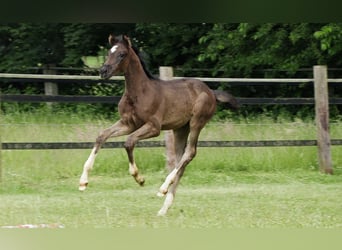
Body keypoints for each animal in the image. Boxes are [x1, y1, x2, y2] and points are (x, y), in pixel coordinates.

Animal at [79, 34, 238, 216]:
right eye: (108, 52)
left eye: (122, 54)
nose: (103, 71)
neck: (139, 93)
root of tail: (211, 91)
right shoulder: (128, 123)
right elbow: (102, 136)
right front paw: (83, 182)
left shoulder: (153, 127)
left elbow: (129, 142)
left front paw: (139, 178)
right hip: (180, 128)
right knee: (181, 160)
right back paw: (164, 207)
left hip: (196, 122)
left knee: (190, 153)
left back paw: (162, 189)